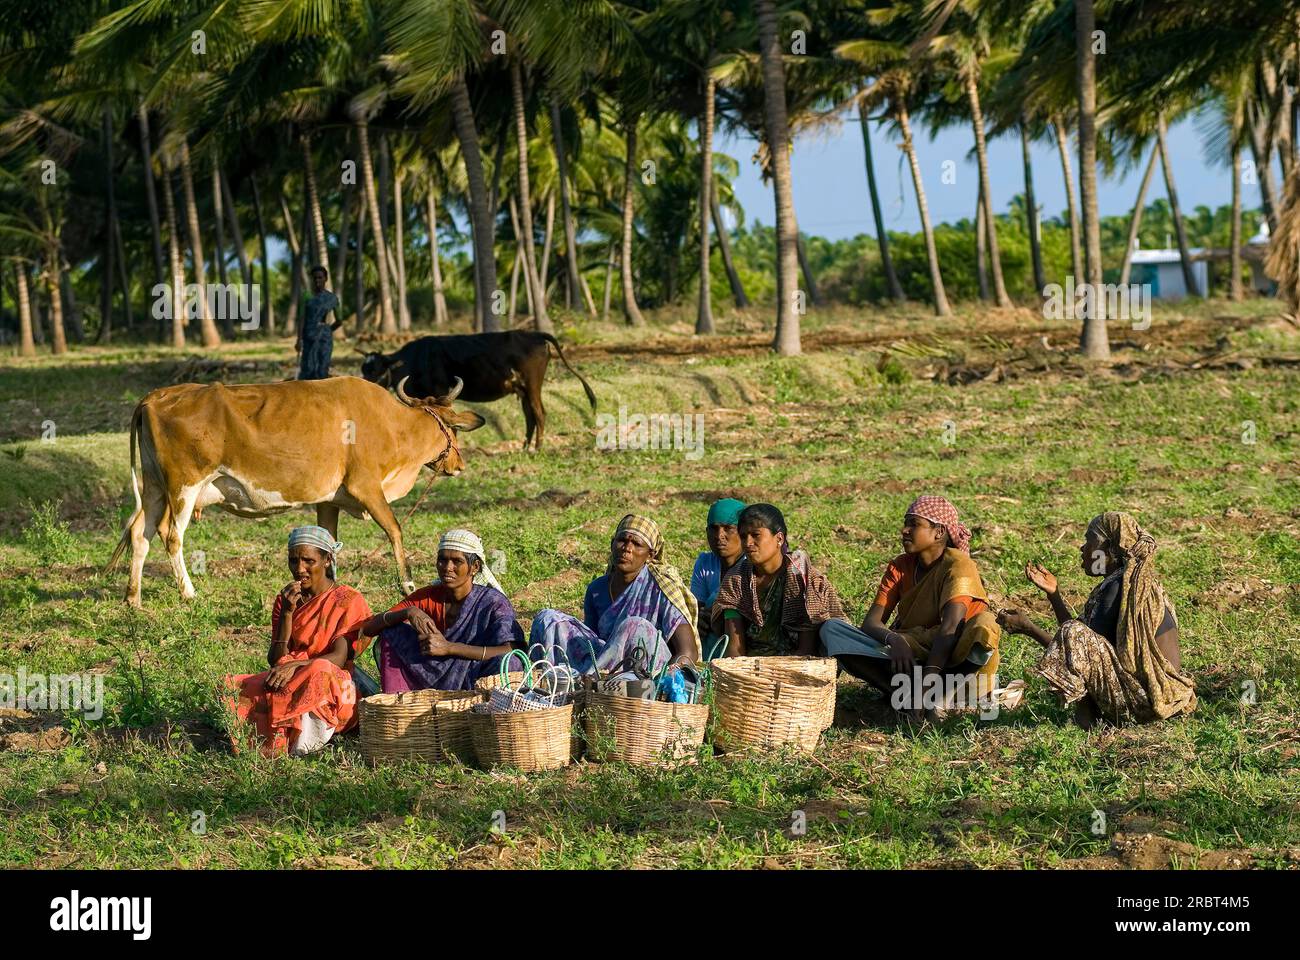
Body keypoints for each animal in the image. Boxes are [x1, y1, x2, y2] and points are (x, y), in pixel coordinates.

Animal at [106, 374, 483, 606]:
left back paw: (133, 597)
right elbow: (395, 530)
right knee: (172, 536)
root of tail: (156, 396)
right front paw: (407, 583)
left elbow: (329, 543)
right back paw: (188, 592)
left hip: (155, 487)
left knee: (140, 533)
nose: (460, 464)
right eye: (453, 429)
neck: (393, 424)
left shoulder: (329, 500)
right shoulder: (366, 487)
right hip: (184, 487)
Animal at [358, 329, 595, 447]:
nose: (363, 385)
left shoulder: (440, 390)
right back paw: (525, 447)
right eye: (364, 368)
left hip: (533, 384)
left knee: (539, 413)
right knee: (530, 416)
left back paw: (537, 448)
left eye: (377, 369)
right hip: (523, 388)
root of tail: (535, 334)